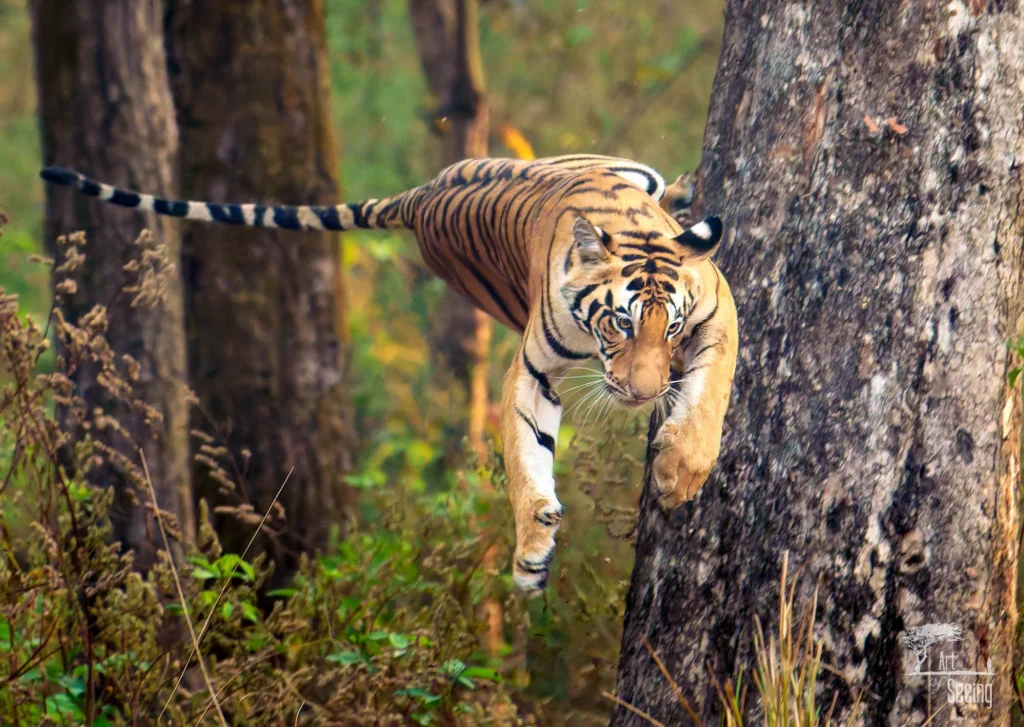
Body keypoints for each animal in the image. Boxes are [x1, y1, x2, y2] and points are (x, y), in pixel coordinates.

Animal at [40, 154, 738, 593]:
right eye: (619, 324)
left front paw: (678, 473)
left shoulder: (716, 305)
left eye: (669, 329)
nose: (642, 393)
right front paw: (530, 554)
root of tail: (417, 199)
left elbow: (710, 393)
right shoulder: (532, 369)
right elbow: (525, 457)